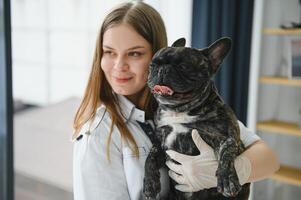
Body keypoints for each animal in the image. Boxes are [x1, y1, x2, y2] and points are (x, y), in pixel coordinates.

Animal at [142, 37, 250, 200]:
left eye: (184, 66)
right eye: (152, 65)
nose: (162, 70)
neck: (179, 111)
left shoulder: (228, 139)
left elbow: (225, 155)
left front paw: (227, 180)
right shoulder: (162, 144)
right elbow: (150, 156)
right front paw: (149, 184)